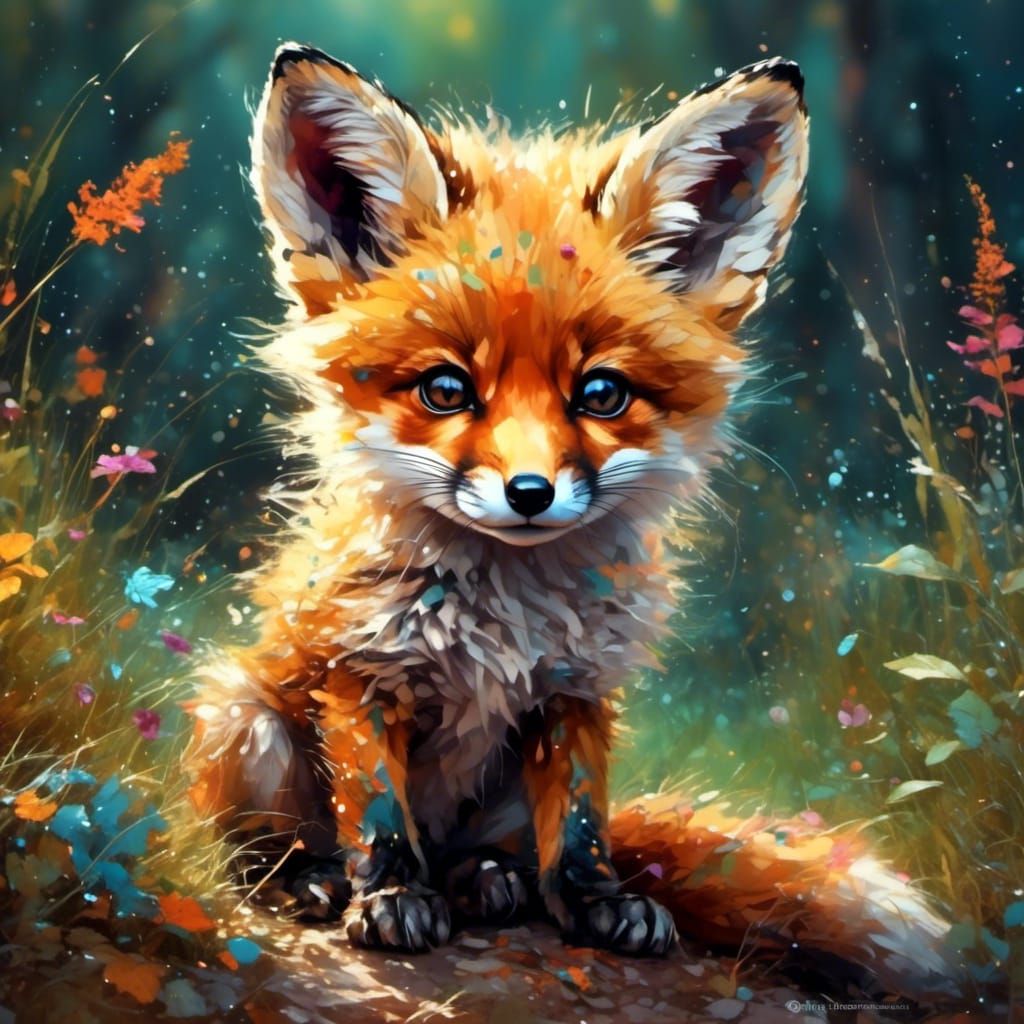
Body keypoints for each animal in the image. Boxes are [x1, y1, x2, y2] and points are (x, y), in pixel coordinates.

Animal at [185, 43, 960, 998]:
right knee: (268, 847)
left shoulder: (575, 692)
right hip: (244, 720)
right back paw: (313, 880)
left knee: (498, 855)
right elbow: (377, 813)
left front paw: (597, 904)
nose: (530, 492)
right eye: (445, 389)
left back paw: (489, 882)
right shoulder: (361, 675)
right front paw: (390, 896)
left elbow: (584, 826)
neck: (504, 615)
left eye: (601, 394)